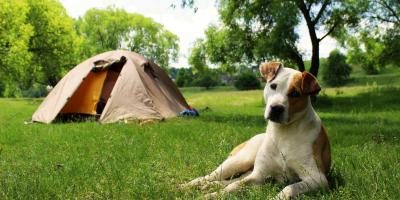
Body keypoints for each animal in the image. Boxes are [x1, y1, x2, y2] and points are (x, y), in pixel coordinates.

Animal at [181, 61, 332, 199]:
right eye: (273, 86)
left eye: (295, 93)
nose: (276, 108)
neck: (283, 132)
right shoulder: (259, 175)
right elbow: (235, 185)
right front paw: (212, 196)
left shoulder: (317, 178)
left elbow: (289, 188)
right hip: (240, 160)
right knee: (210, 176)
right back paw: (187, 186)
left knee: (227, 180)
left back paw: (208, 186)